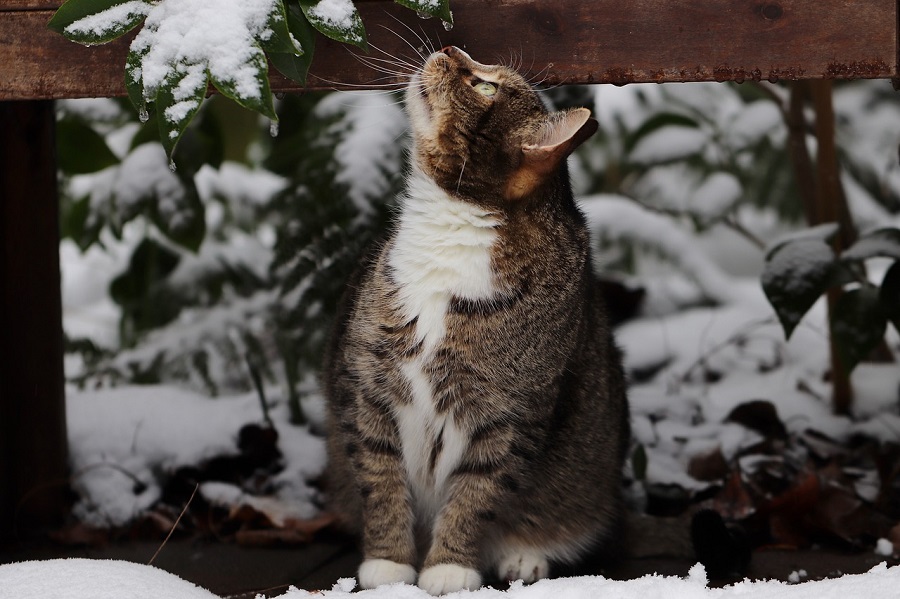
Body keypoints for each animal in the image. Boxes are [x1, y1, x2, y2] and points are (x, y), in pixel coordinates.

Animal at [322, 47, 624, 596]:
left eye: (486, 87)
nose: (449, 50)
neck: (453, 230)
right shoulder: (366, 389)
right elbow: (380, 481)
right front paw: (389, 565)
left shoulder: (511, 414)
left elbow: (476, 494)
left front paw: (449, 569)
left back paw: (524, 558)